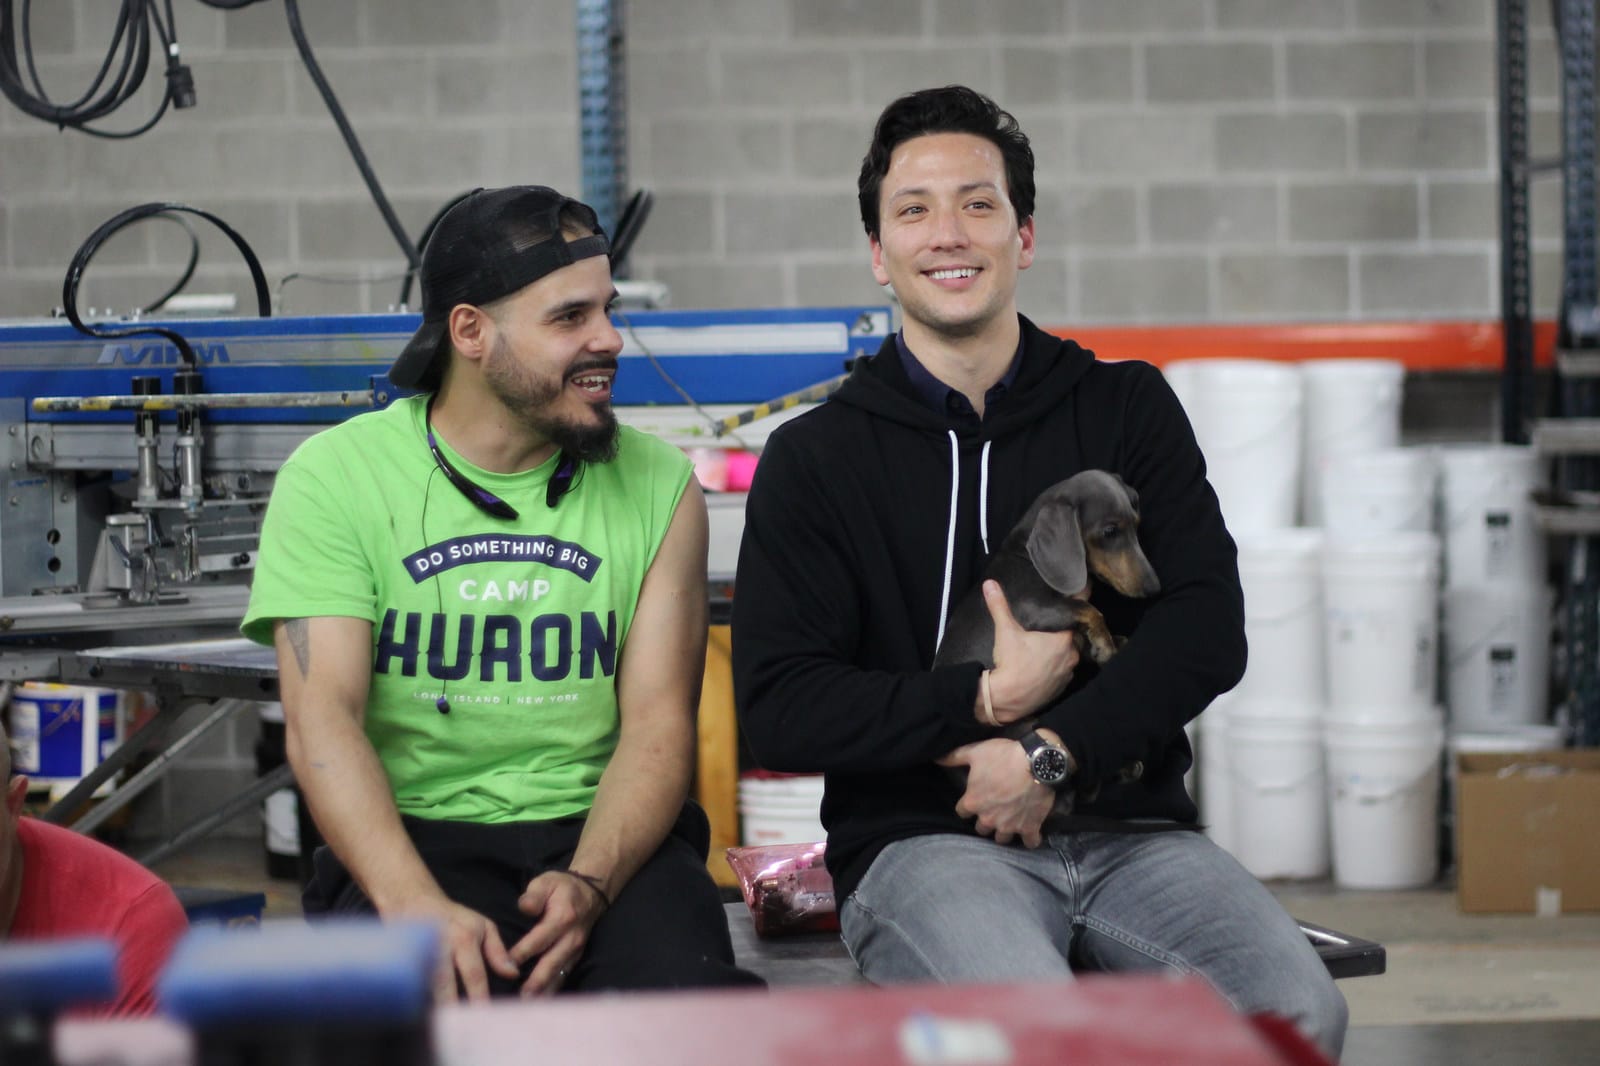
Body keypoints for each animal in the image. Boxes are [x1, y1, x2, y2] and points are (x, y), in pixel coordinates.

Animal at [928, 470, 1164, 825]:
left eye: (1136, 524)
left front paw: (1115, 643)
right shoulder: (1032, 611)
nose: (1154, 588)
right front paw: (1105, 645)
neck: (1027, 557)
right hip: (1027, 725)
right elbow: (1090, 609)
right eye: (1110, 532)